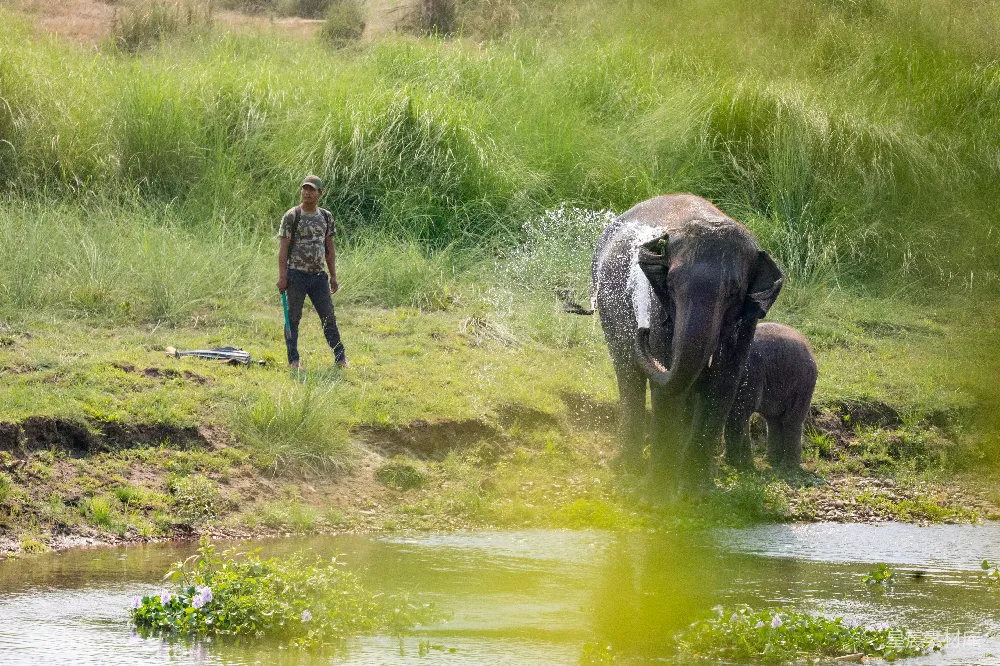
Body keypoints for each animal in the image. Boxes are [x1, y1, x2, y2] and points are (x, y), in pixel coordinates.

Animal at [592, 194, 784, 492]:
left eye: (733, 292)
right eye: (670, 284)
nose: (642, 328)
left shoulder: (747, 315)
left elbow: (724, 381)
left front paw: (695, 490)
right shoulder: (657, 303)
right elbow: (668, 381)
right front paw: (657, 493)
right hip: (606, 303)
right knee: (628, 374)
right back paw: (627, 467)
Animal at [723, 322, 817, 471]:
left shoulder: (750, 374)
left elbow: (740, 411)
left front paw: (737, 464)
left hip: (803, 383)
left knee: (791, 420)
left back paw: (788, 466)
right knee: (773, 419)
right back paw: (772, 460)